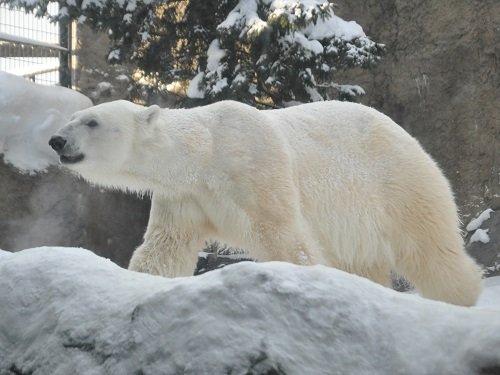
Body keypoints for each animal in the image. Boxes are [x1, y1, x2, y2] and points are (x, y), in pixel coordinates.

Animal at [49, 101, 480, 306]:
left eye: (92, 122)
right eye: (74, 117)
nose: (56, 140)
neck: (205, 152)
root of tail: (404, 134)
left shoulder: (256, 166)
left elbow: (284, 235)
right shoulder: (184, 195)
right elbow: (165, 247)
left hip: (396, 183)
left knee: (428, 247)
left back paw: (460, 298)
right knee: (362, 260)